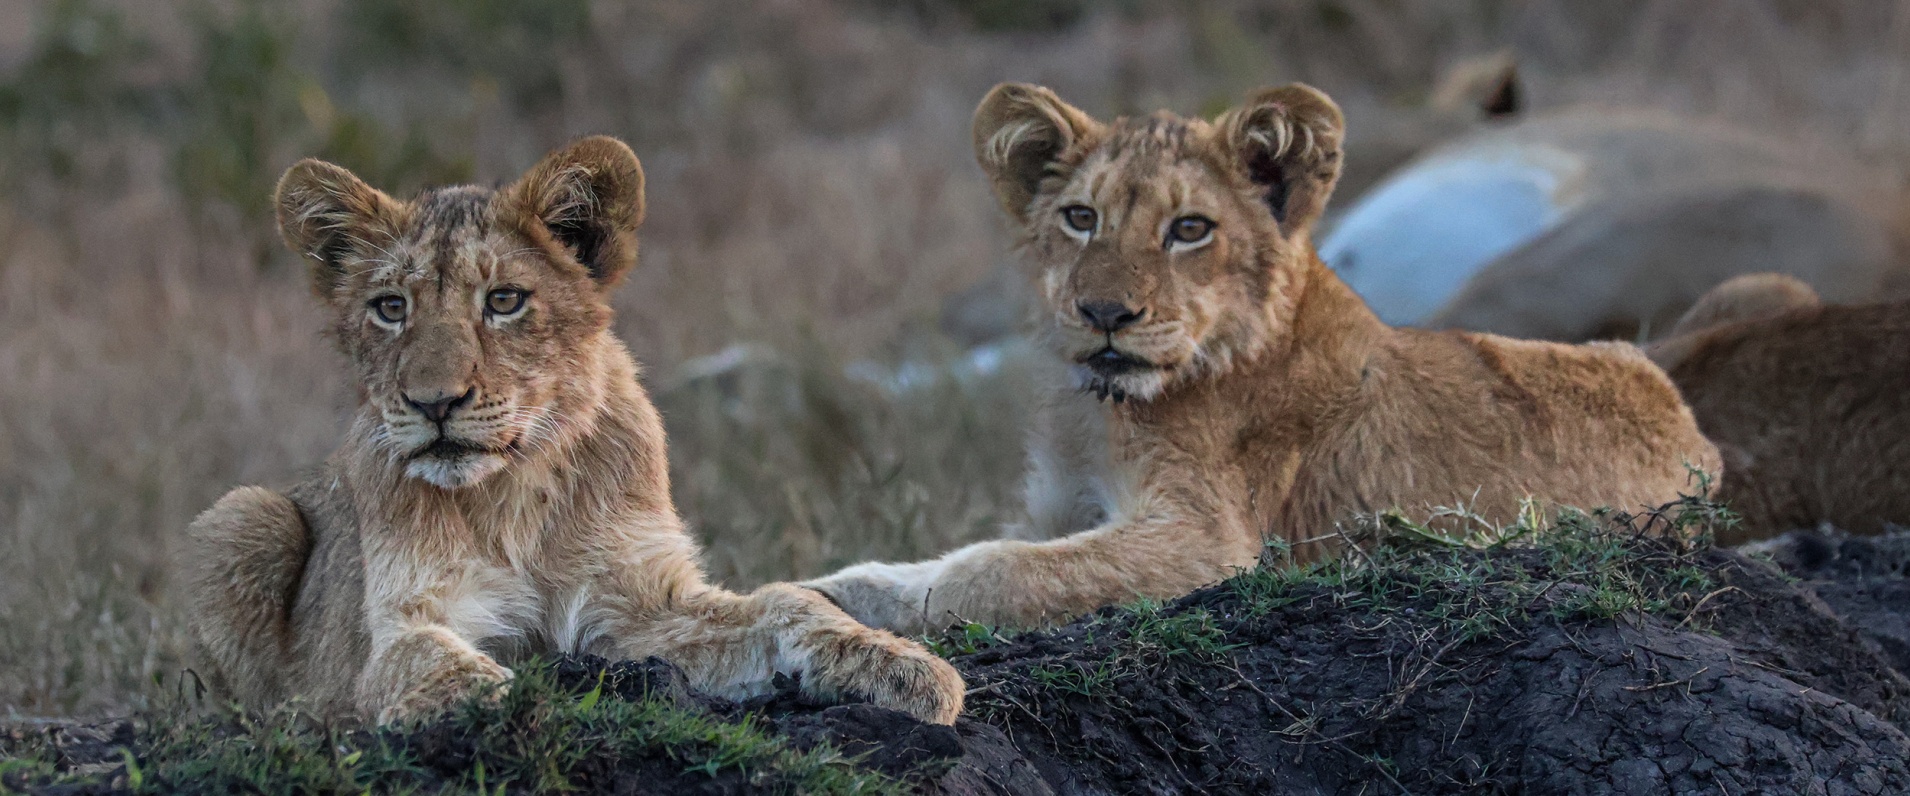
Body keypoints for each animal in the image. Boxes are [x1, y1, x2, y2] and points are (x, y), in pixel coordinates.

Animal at [181, 137, 963, 725]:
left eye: (504, 301)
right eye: (390, 307)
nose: (434, 403)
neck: (513, 488)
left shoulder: (635, 607)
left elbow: (788, 604)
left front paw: (906, 669)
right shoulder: (408, 616)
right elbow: (418, 657)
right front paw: (499, 703)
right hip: (242, 516)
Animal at [805, 83, 1721, 634]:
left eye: (1190, 229)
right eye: (1079, 218)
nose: (1104, 314)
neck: (1096, 411)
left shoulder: (1212, 541)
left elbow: (997, 571)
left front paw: (886, 598)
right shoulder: (1057, 508)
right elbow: (993, 551)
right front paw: (842, 587)